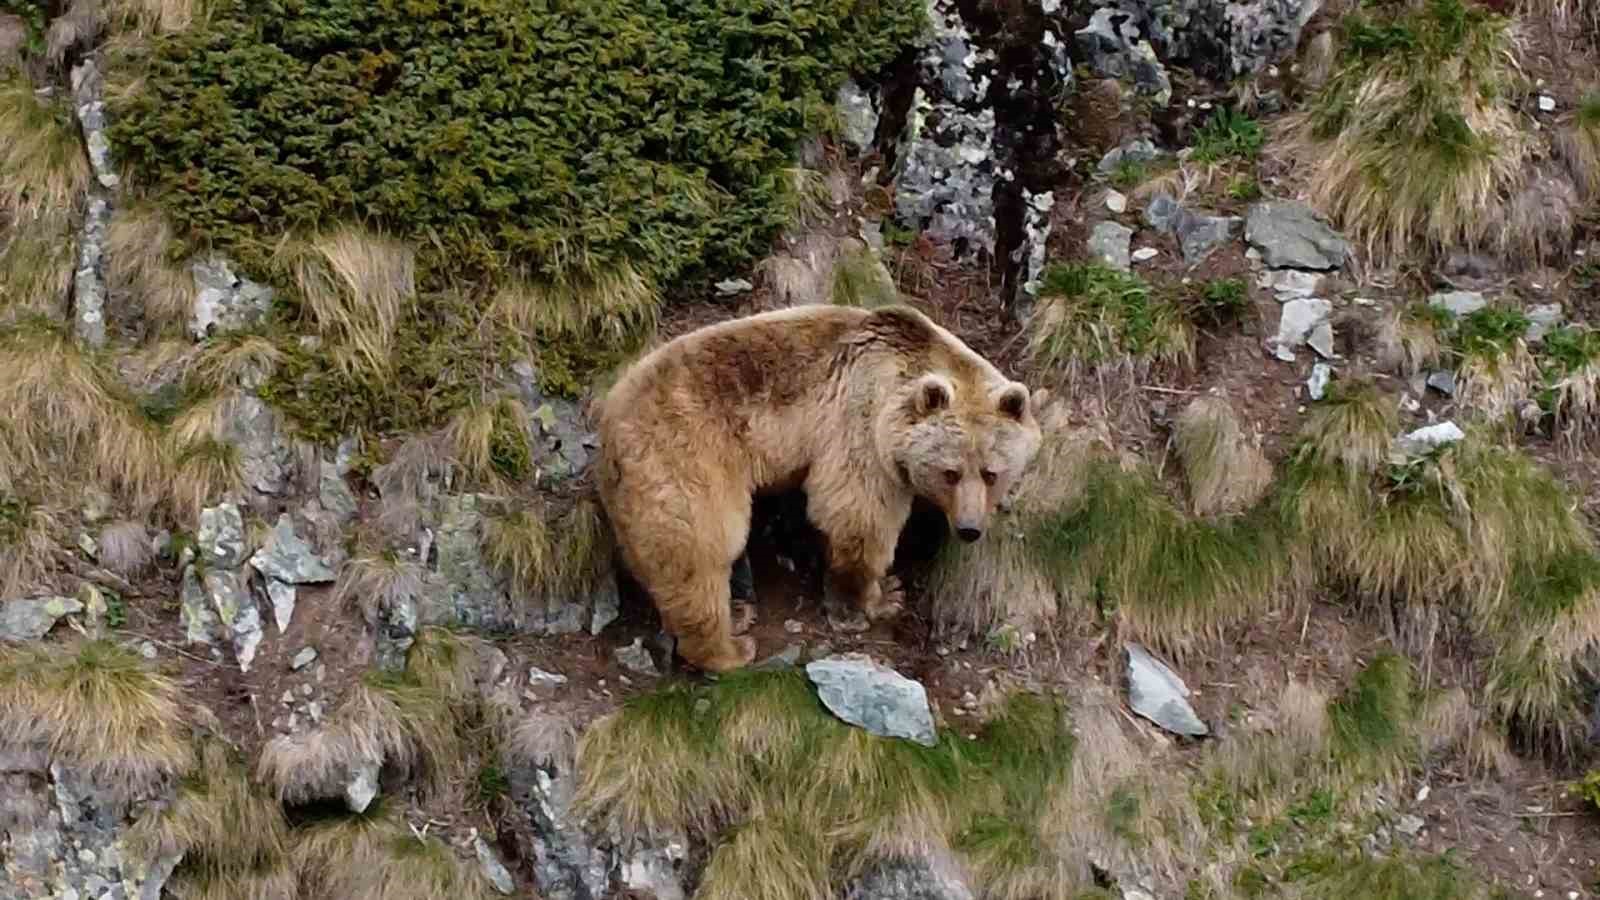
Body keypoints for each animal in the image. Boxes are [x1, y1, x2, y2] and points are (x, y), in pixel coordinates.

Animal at [595, 304, 1043, 669]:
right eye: (950, 472)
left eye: (991, 472)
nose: (969, 529)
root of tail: (609, 422)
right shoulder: (859, 426)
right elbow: (858, 515)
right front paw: (880, 598)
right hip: (685, 463)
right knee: (701, 551)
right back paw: (729, 648)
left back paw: (736, 611)